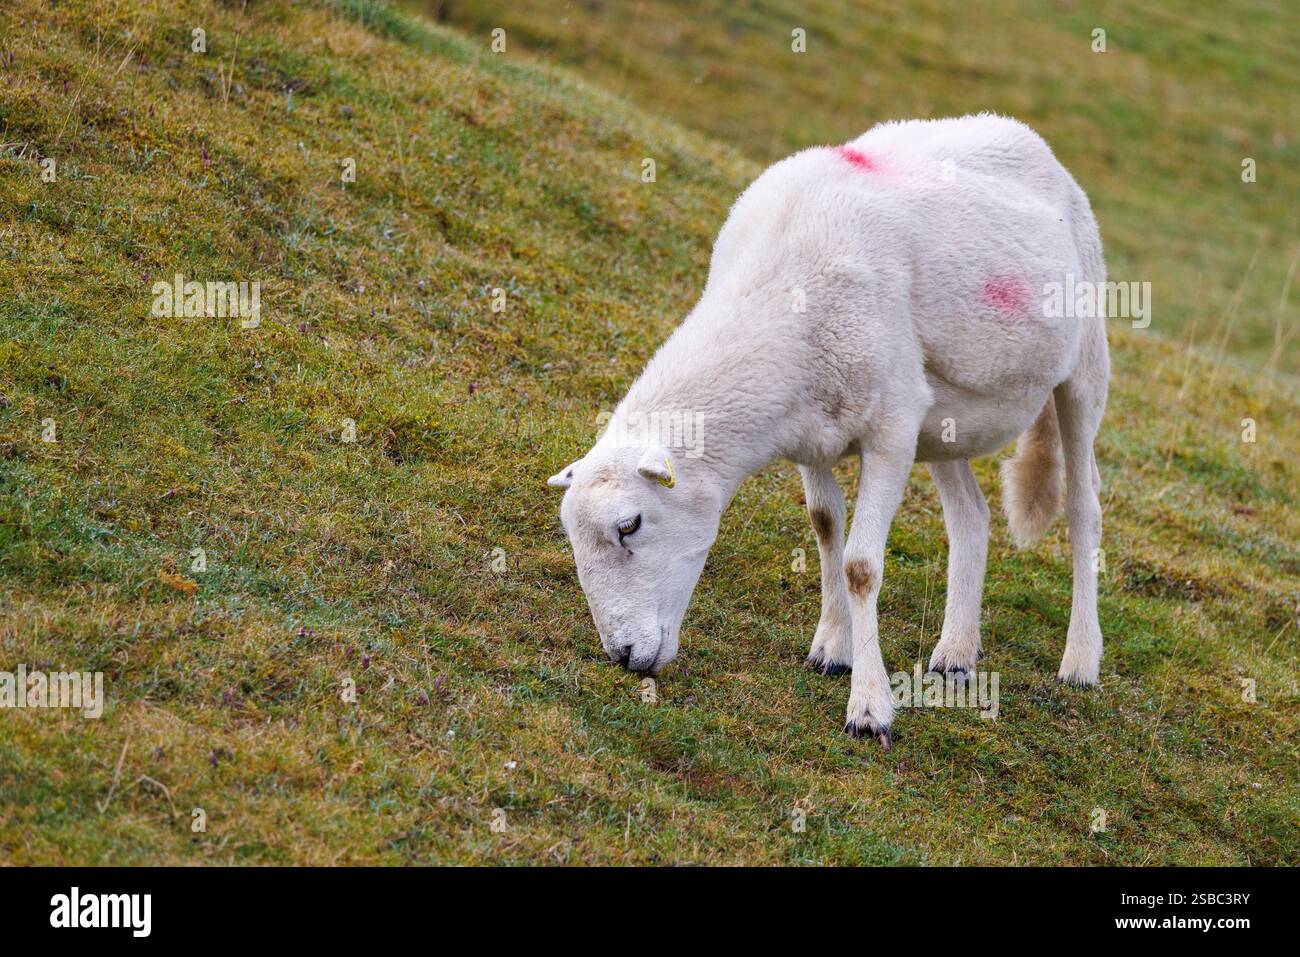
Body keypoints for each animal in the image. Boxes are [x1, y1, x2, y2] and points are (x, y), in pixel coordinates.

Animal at [548, 114, 1109, 749]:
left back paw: (1080, 661)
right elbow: (824, 525)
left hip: (1084, 364)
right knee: (972, 516)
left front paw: (869, 705)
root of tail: (1023, 135)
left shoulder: (891, 430)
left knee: (1084, 506)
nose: (622, 656)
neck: (776, 305)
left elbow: (861, 566)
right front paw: (834, 648)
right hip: (941, 415)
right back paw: (956, 654)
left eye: (630, 526)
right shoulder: (809, 431)